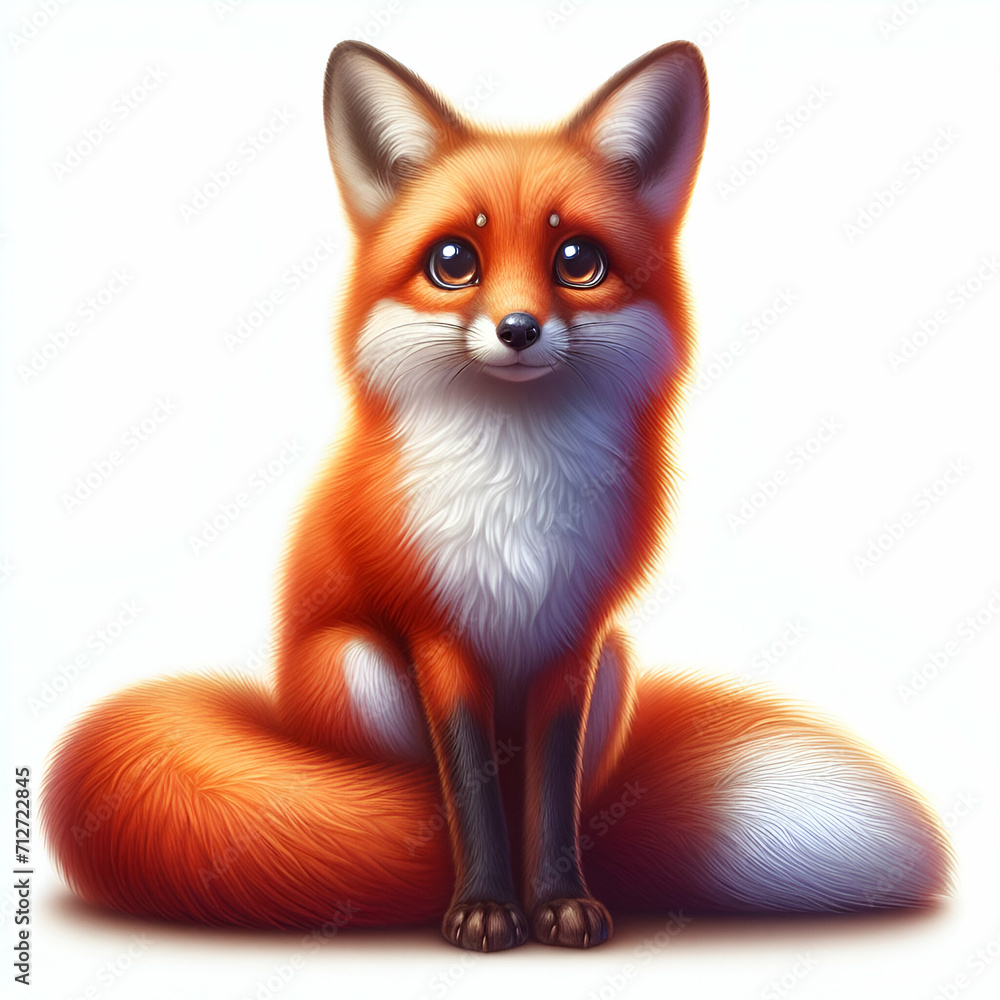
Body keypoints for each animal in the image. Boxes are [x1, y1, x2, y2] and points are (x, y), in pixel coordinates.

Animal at [42, 40, 952, 952]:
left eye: (577, 261)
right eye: (454, 262)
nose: (518, 329)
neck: (517, 493)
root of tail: (276, 719)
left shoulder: (575, 642)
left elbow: (550, 798)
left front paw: (560, 902)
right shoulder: (438, 639)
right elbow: (473, 793)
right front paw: (483, 907)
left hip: (617, 664)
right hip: (358, 663)